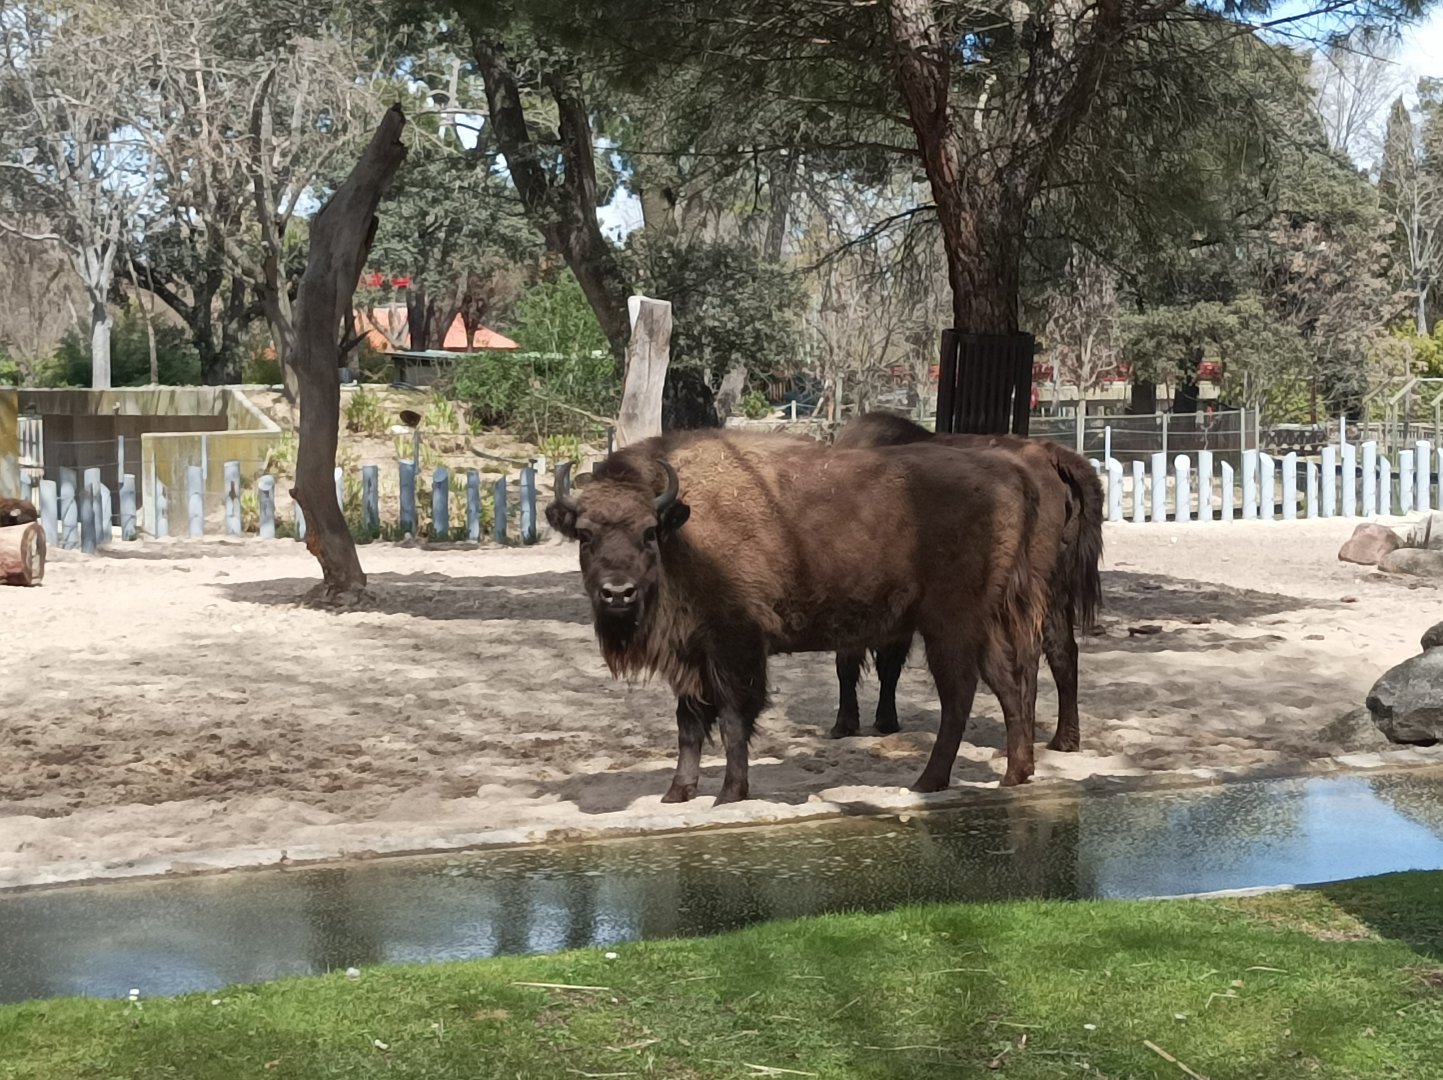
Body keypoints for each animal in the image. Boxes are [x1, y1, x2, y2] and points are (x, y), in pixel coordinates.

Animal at [546, 430, 1070, 804]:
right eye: (585, 535)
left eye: (648, 532)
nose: (617, 593)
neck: (686, 530)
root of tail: (1011, 473)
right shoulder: (690, 654)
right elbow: (688, 725)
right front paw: (676, 793)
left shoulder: (734, 646)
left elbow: (733, 720)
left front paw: (729, 794)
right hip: (982, 624)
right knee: (1007, 685)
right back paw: (1014, 775)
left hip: (949, 626)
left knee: (959, 697)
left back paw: (929, 782)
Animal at [829, 411, 1104, 751]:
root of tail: (1052, 456)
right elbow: (888, 664)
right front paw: (886, 721)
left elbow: (850, 661)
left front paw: (845, 724)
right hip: (1056, 588)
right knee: (1062, 652)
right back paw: (1063, 741)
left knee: (1030, 655)